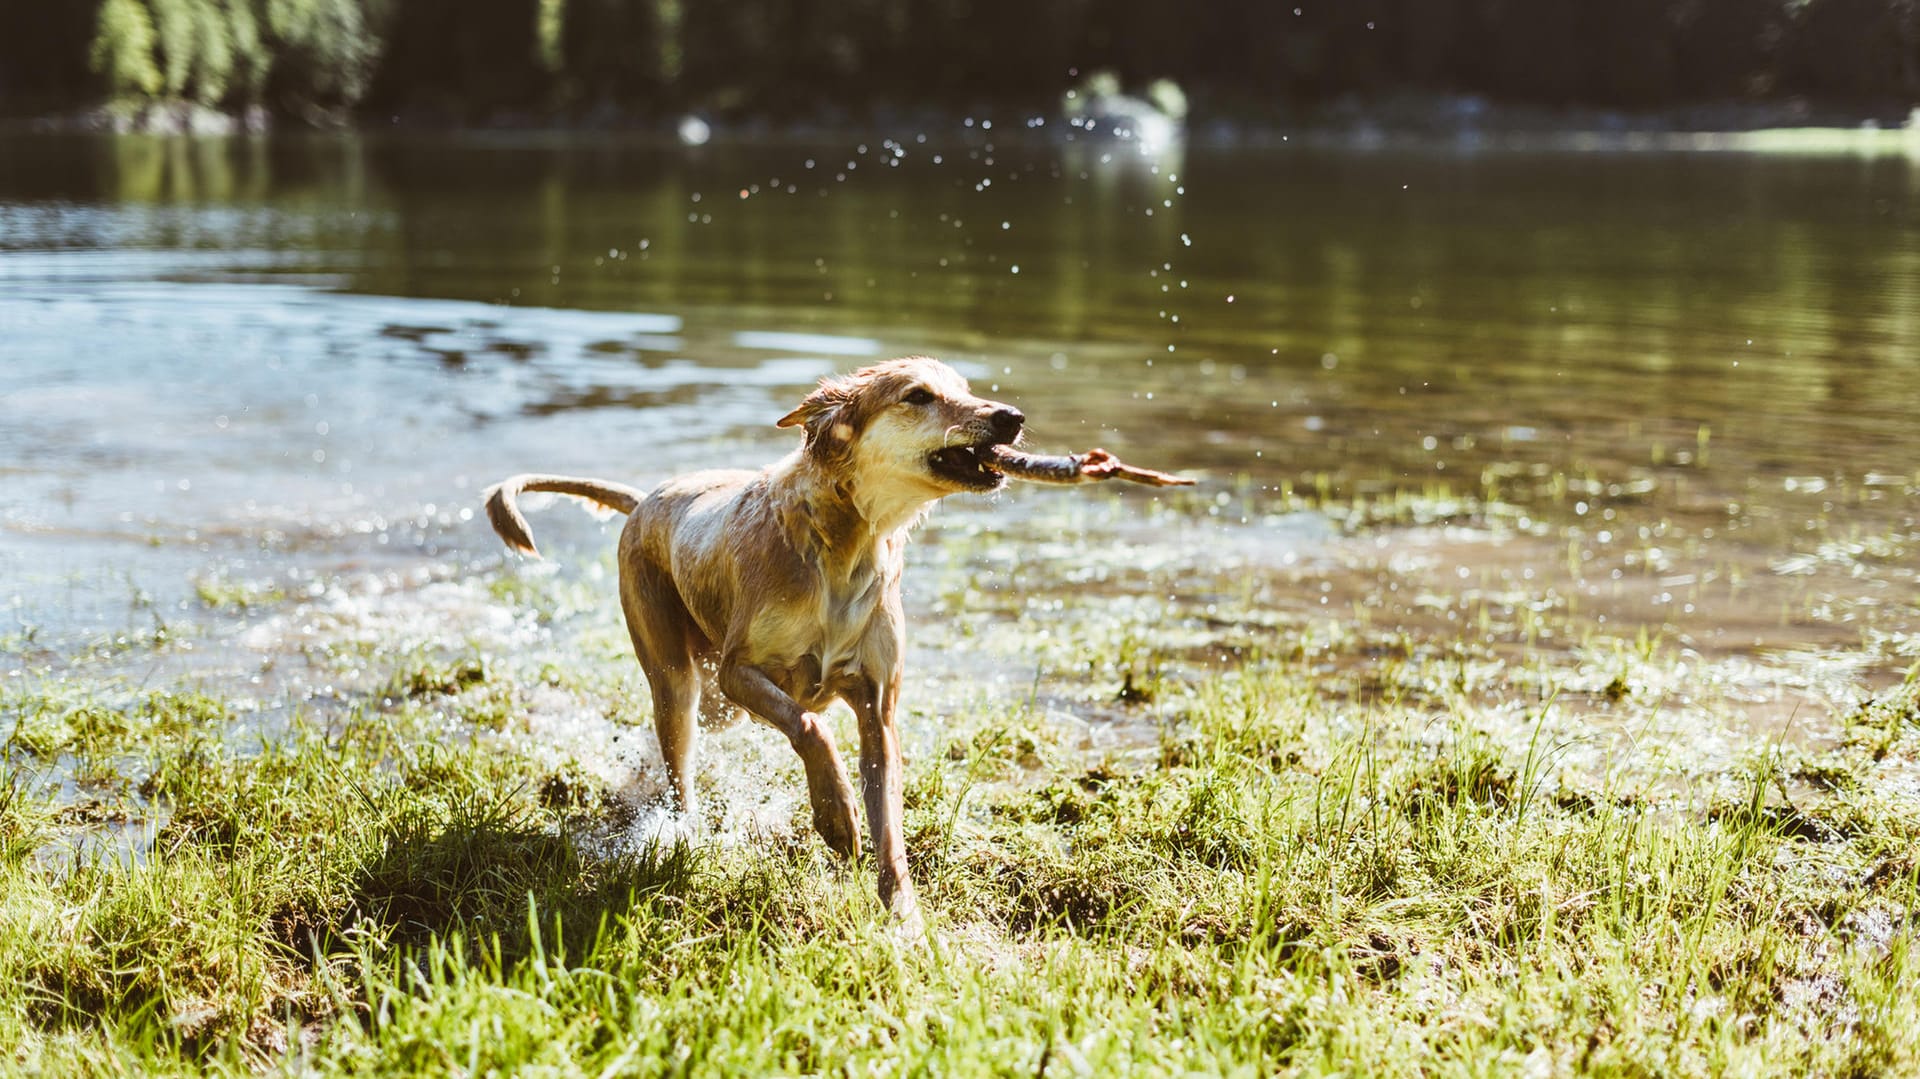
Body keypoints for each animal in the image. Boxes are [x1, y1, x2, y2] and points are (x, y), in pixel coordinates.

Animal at [480, 353, 1021, 913]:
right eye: (918, 396)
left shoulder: (878, 712)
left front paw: (903, 911)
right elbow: (811, 725)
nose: (1012, 418)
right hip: (678, 678)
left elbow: (889, 824)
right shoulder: (739, 672)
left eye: (966, 388)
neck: (842, 552)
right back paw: (679, 831)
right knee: (679, 760)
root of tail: (648, 498)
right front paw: (836, 814)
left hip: (722, 708)